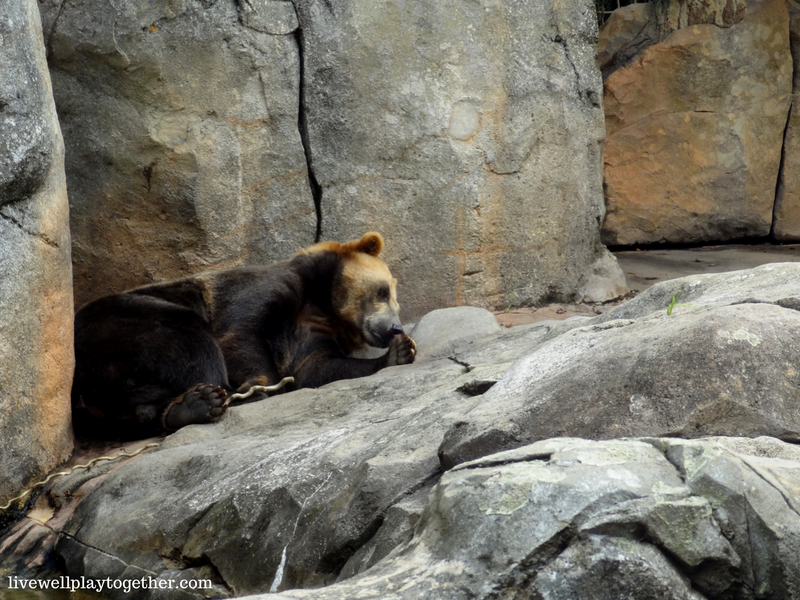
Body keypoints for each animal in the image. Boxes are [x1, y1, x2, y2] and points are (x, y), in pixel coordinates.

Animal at [72, 232, 416, 438]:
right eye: (383, 291)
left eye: (395, 301)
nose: (394, 328)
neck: (320, 304)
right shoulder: (262, 291)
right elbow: (240, 335)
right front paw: (258, 384)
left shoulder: (314, 335)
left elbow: (319, 367)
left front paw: (400, 352)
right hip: (125, 321)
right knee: (187, 339)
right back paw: (218, 396)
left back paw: (185, 407)